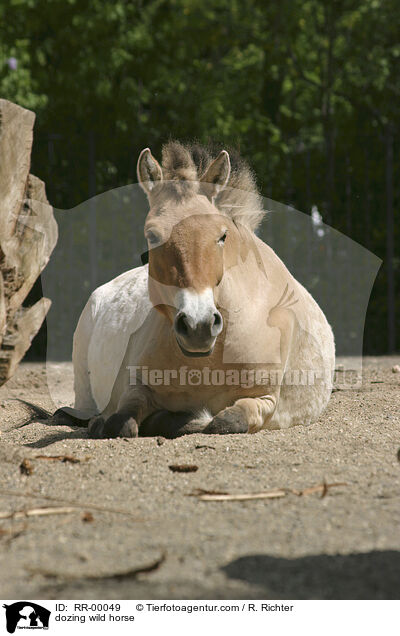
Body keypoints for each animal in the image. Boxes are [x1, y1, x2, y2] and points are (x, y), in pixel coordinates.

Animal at [65, 140, 334, 438]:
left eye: (222, 235)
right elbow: (119, 422)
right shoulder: (136, 389)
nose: (198, 326)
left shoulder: (264, 400)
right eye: (152, 236)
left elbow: (225, 422)